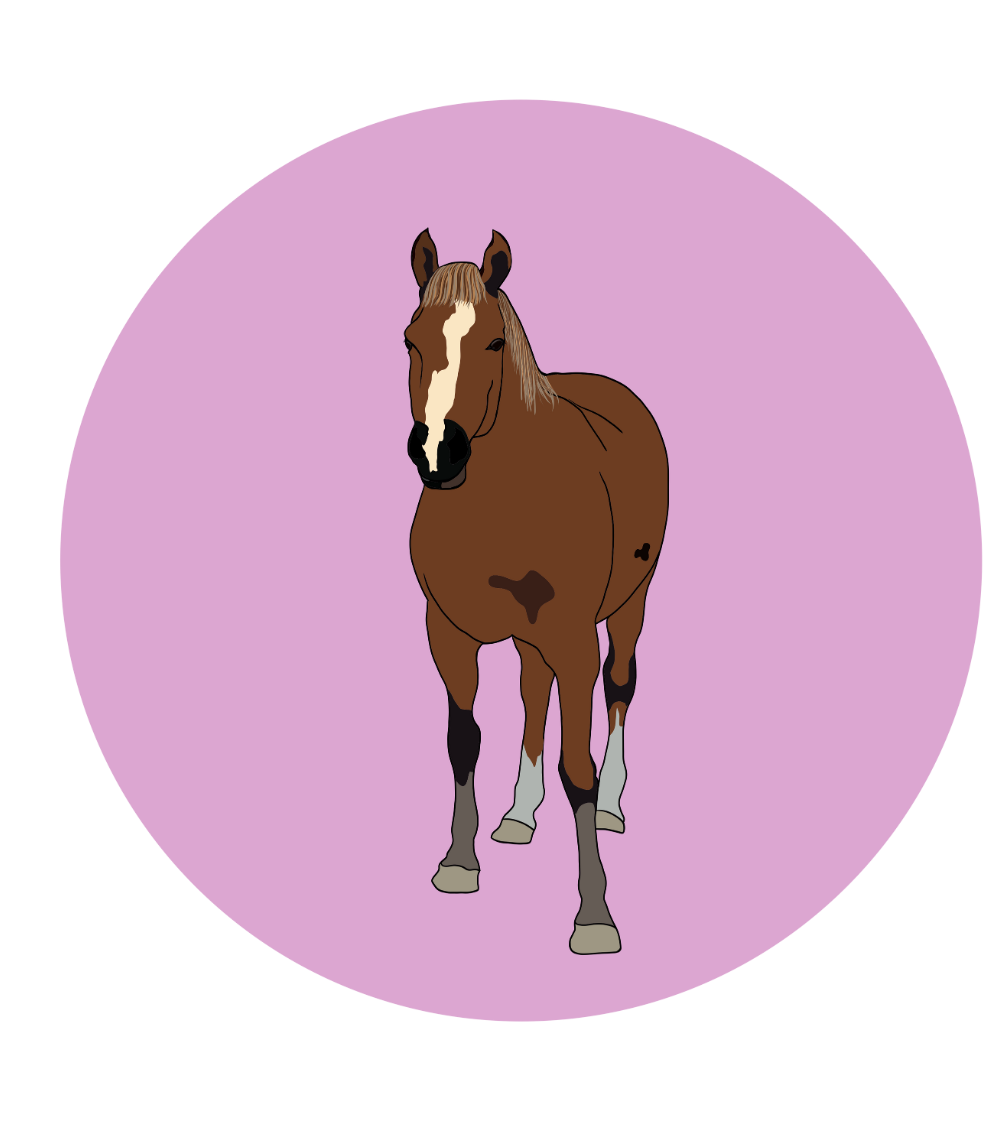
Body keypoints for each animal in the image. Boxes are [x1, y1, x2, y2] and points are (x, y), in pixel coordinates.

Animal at [405, 230, 669, 954]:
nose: (437, 454)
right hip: (529, 634)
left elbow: (577, 767)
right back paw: (520, 813)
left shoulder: (574, 640)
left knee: (618, 686)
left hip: (629, 605)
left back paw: (611, 805)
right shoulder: (447, 632)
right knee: (531, 690)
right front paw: (459, 862)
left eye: (494, 342)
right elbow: (463, 740)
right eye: (410, 340)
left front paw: (595, 917)